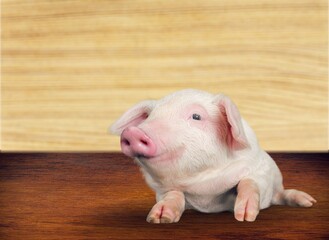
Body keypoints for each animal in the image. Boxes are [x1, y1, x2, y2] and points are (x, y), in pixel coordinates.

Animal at [110, 89, 316, 224]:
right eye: (150, 116)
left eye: (196, 116)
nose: (133, 132)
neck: (205, 191)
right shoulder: (163, 190)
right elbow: (173, 195)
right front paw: (159, 218)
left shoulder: (260, 169)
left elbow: (249, 182)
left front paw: (244, 216)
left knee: (280, 194)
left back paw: (308, 202)